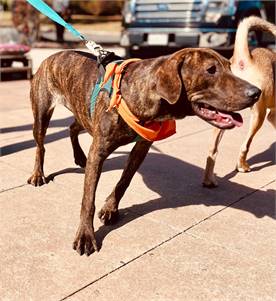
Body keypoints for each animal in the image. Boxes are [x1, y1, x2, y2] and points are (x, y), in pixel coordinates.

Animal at [28, 48, 260, 254]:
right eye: (210, 70)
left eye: (230, 67)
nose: (256, 92)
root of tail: (51, 56)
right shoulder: (99, 151)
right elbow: (88, 199)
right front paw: (86, 234)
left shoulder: (141, 147)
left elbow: (123, 182)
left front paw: (110, 208)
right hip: (42, 114)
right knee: (41, 146)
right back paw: (38, 174)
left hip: (83, 112)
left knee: (72, 128)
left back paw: (79, 156)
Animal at [203, 16, 276, 186]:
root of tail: (246, 59)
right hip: (258, 115)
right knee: (245, 145)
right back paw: (242, 165)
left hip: (223, 115)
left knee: (212, 151)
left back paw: (209, 180)